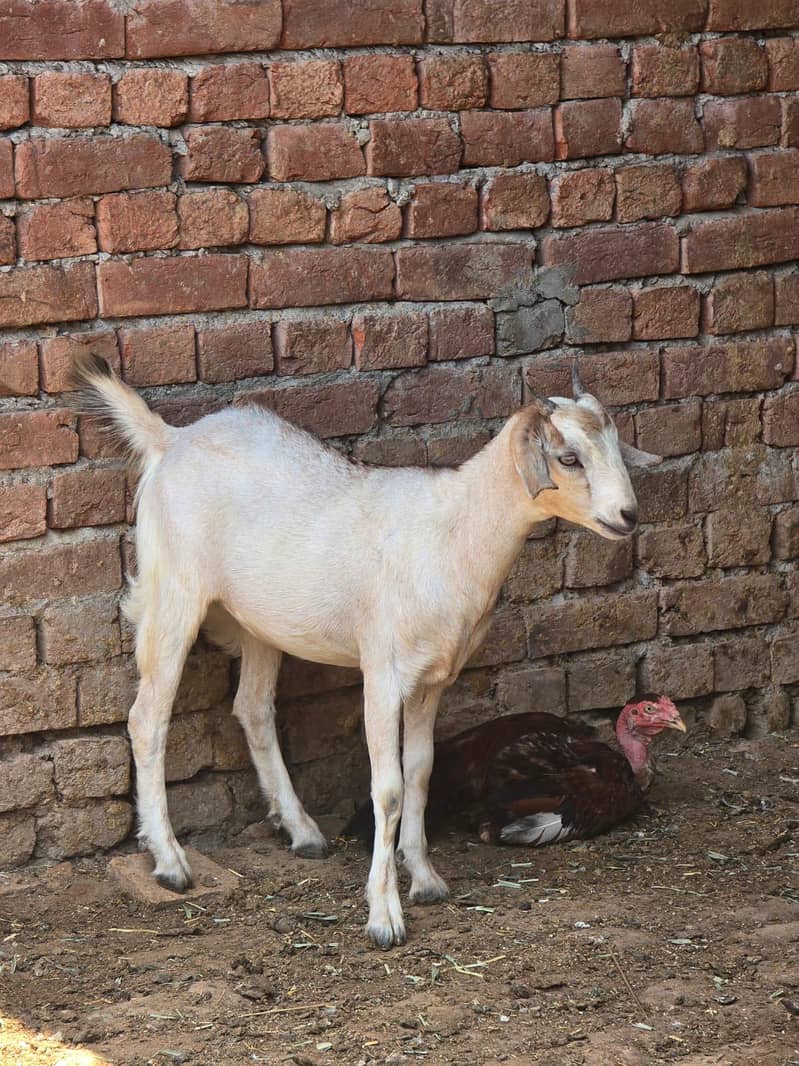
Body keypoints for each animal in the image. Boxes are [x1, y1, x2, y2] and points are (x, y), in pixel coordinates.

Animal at [72, 353, 659, 948]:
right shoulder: (384, 672)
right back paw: (170, 862)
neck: (453, 534)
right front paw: (384, 915)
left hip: (259, 621)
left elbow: (421, 771)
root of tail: (170, 437)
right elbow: (389, 788)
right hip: (174, 591)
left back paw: (303, 831)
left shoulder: (431, 680)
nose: (628, 515)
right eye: (568, 458)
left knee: (253, 708)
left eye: (615, 446)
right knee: (148, 718)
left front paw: (425, 879)